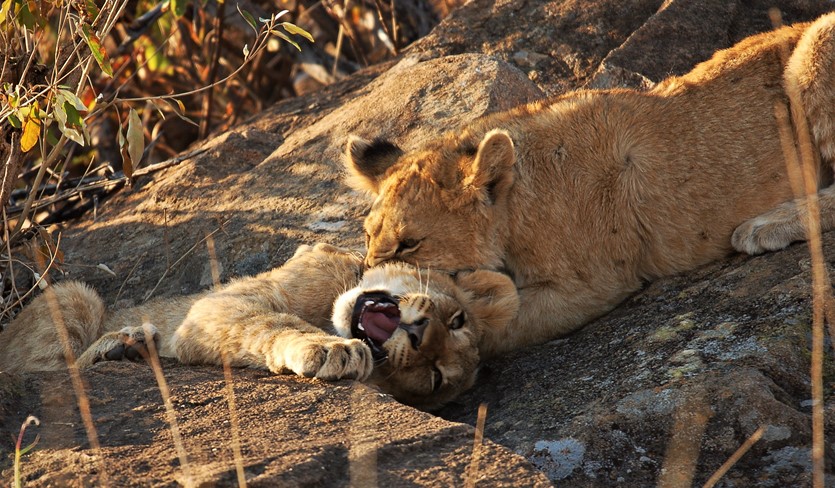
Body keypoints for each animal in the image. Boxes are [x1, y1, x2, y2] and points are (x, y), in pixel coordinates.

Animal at [0, 243, 518, 410]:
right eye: (456, 320)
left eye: (435, 378)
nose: (417, 335)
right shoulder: (219, 303)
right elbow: (273, 320)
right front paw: (329, 349)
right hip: (77, 295)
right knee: (41, 369)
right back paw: (121, 343)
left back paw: (129, 347)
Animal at [344, 13, 835, 358]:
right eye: (366, 238)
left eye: (409, 244)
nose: (366, 281)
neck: (516, 203)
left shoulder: (596, 283)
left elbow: (495, 327)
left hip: (815, 48)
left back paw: (765, 226)